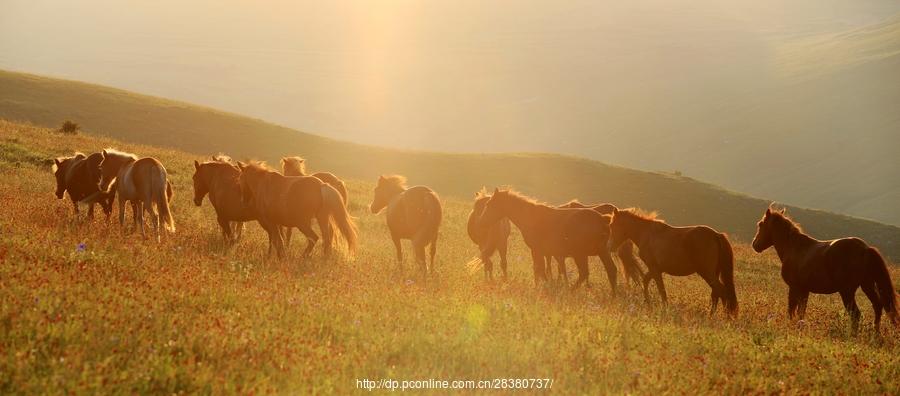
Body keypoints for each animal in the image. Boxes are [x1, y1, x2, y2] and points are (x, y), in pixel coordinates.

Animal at [478, 187, 620, 292]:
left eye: (490, 204)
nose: (481, 222)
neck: (531, 217)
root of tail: (603, 219)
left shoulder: (537, 250)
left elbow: (539, 269)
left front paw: (543, 287)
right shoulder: (544, 252)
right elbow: (541, 269)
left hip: (580, 254)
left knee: (585, 273)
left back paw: (570, 291)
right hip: (601, 252)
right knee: (611, 271)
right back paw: (613, 296)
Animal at [604, 207, 740, 316]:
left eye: (612, 225)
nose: (609, 247)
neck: (647, 234)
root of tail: (716, 235)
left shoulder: (655, 269)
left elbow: (661, 290)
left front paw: (663, 308)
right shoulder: (655, 269)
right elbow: (646, 282)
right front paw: (648, 303)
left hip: (706, 272)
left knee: (721, 291)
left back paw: (722, 317)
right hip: (713, 273)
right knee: (716, 293)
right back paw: (714, 315)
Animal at [752, 206, 900, 332]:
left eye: (760, 224)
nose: (755, 245)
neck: (795, 248)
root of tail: (865, 248)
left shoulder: (794, 288)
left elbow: (791, 310)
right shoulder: (804, 290)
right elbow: (801, 312)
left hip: (847, 291)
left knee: (856, 315)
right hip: (867, 286)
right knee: (877, 307)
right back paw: (876, 334)